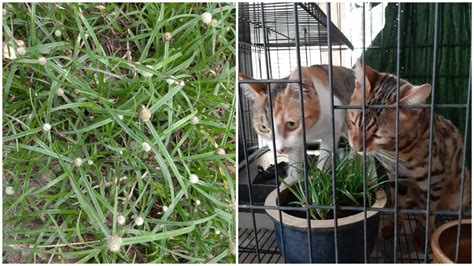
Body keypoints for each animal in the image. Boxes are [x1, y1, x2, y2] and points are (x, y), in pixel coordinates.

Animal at [346, 60, 472, 249]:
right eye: (353, 122)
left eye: (378, 135)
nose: (357, 147)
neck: (395, 150)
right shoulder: (395, 176)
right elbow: (397, 204)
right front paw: (393, 226)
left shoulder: (434, 179)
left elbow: (426, 212)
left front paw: (420, 236)